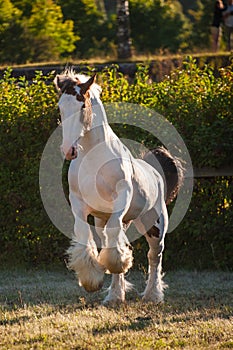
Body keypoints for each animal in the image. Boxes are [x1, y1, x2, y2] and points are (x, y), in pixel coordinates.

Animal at [53, 70, 184, 304]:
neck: (93, 157)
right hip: (110, 220)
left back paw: (152, 295)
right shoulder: (79, 204)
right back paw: (115, 295)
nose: (69, 150)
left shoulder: (122, 197)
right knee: (112, 240)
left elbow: (116, 241)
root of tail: (156, 173)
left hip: (155, 224)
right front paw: (92, 280)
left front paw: (118, 264)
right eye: (61, 106)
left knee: (154, 256)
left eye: (82, 105)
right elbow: (85, 234)